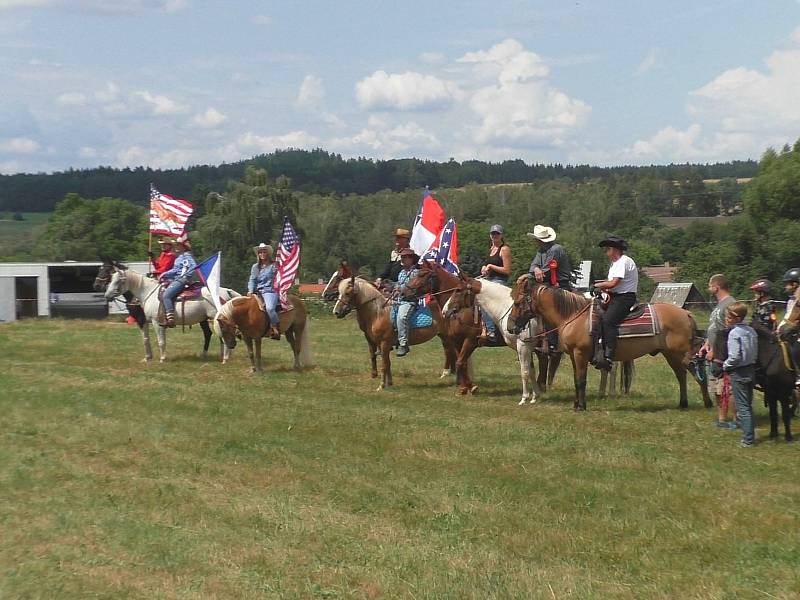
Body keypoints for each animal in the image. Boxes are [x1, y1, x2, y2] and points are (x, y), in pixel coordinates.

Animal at [100, 262, 239, 360]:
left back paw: (225, 357)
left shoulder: (155, 322)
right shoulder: (148, 322)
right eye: (110, 278)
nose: (107, 295)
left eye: (117, 281)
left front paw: (162, 358)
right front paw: (148, 358)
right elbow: (149, 339)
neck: (147, 292)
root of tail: (226, 291)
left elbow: (160, 341)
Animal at [320, 262, 456, 380]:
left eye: (338, 277)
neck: (378, 312)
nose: (336, 311)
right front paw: (376, 375)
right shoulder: (369, 337)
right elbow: (374, 354)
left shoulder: (382, 341)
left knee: (450, 351)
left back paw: (448, 373)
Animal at [510, 278, 708, 412]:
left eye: (518, 302)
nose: (511, 326)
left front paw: (581, 406)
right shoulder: (574, 355)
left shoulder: (580, 354)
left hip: (682, 353)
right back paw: (683, 404)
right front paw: (576, 404)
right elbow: (576, 379)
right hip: (670, 354)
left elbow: (581, 380)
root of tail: (686, 313)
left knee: (697, 372)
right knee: (681, 375)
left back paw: (708, 403)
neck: (573, 315)